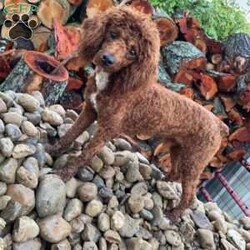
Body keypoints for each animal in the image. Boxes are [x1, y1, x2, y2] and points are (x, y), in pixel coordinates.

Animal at [46, 6, 229, 221]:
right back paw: (162, 180)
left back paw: (174, 214)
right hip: (178, 149)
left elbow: (85, 155)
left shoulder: (108, 129)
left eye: (133, 52)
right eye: (113, 34)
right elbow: (70, 135)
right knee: (175, 173)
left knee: (190, 195)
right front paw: (52, 150)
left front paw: (64, 174)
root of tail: (219, 124)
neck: (116, 83)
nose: (108, 59)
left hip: (194, 160)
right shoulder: (89, 111)